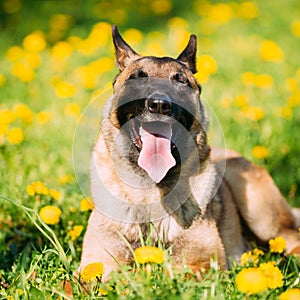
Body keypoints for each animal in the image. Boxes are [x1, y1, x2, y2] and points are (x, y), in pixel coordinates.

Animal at [79, 25, 300, 282]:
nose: (159, 105)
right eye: (138, 77)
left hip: (259, 211)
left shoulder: (202, 264)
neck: (149, 188)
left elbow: (157, 273)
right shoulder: (95, 263)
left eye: (181, 82)